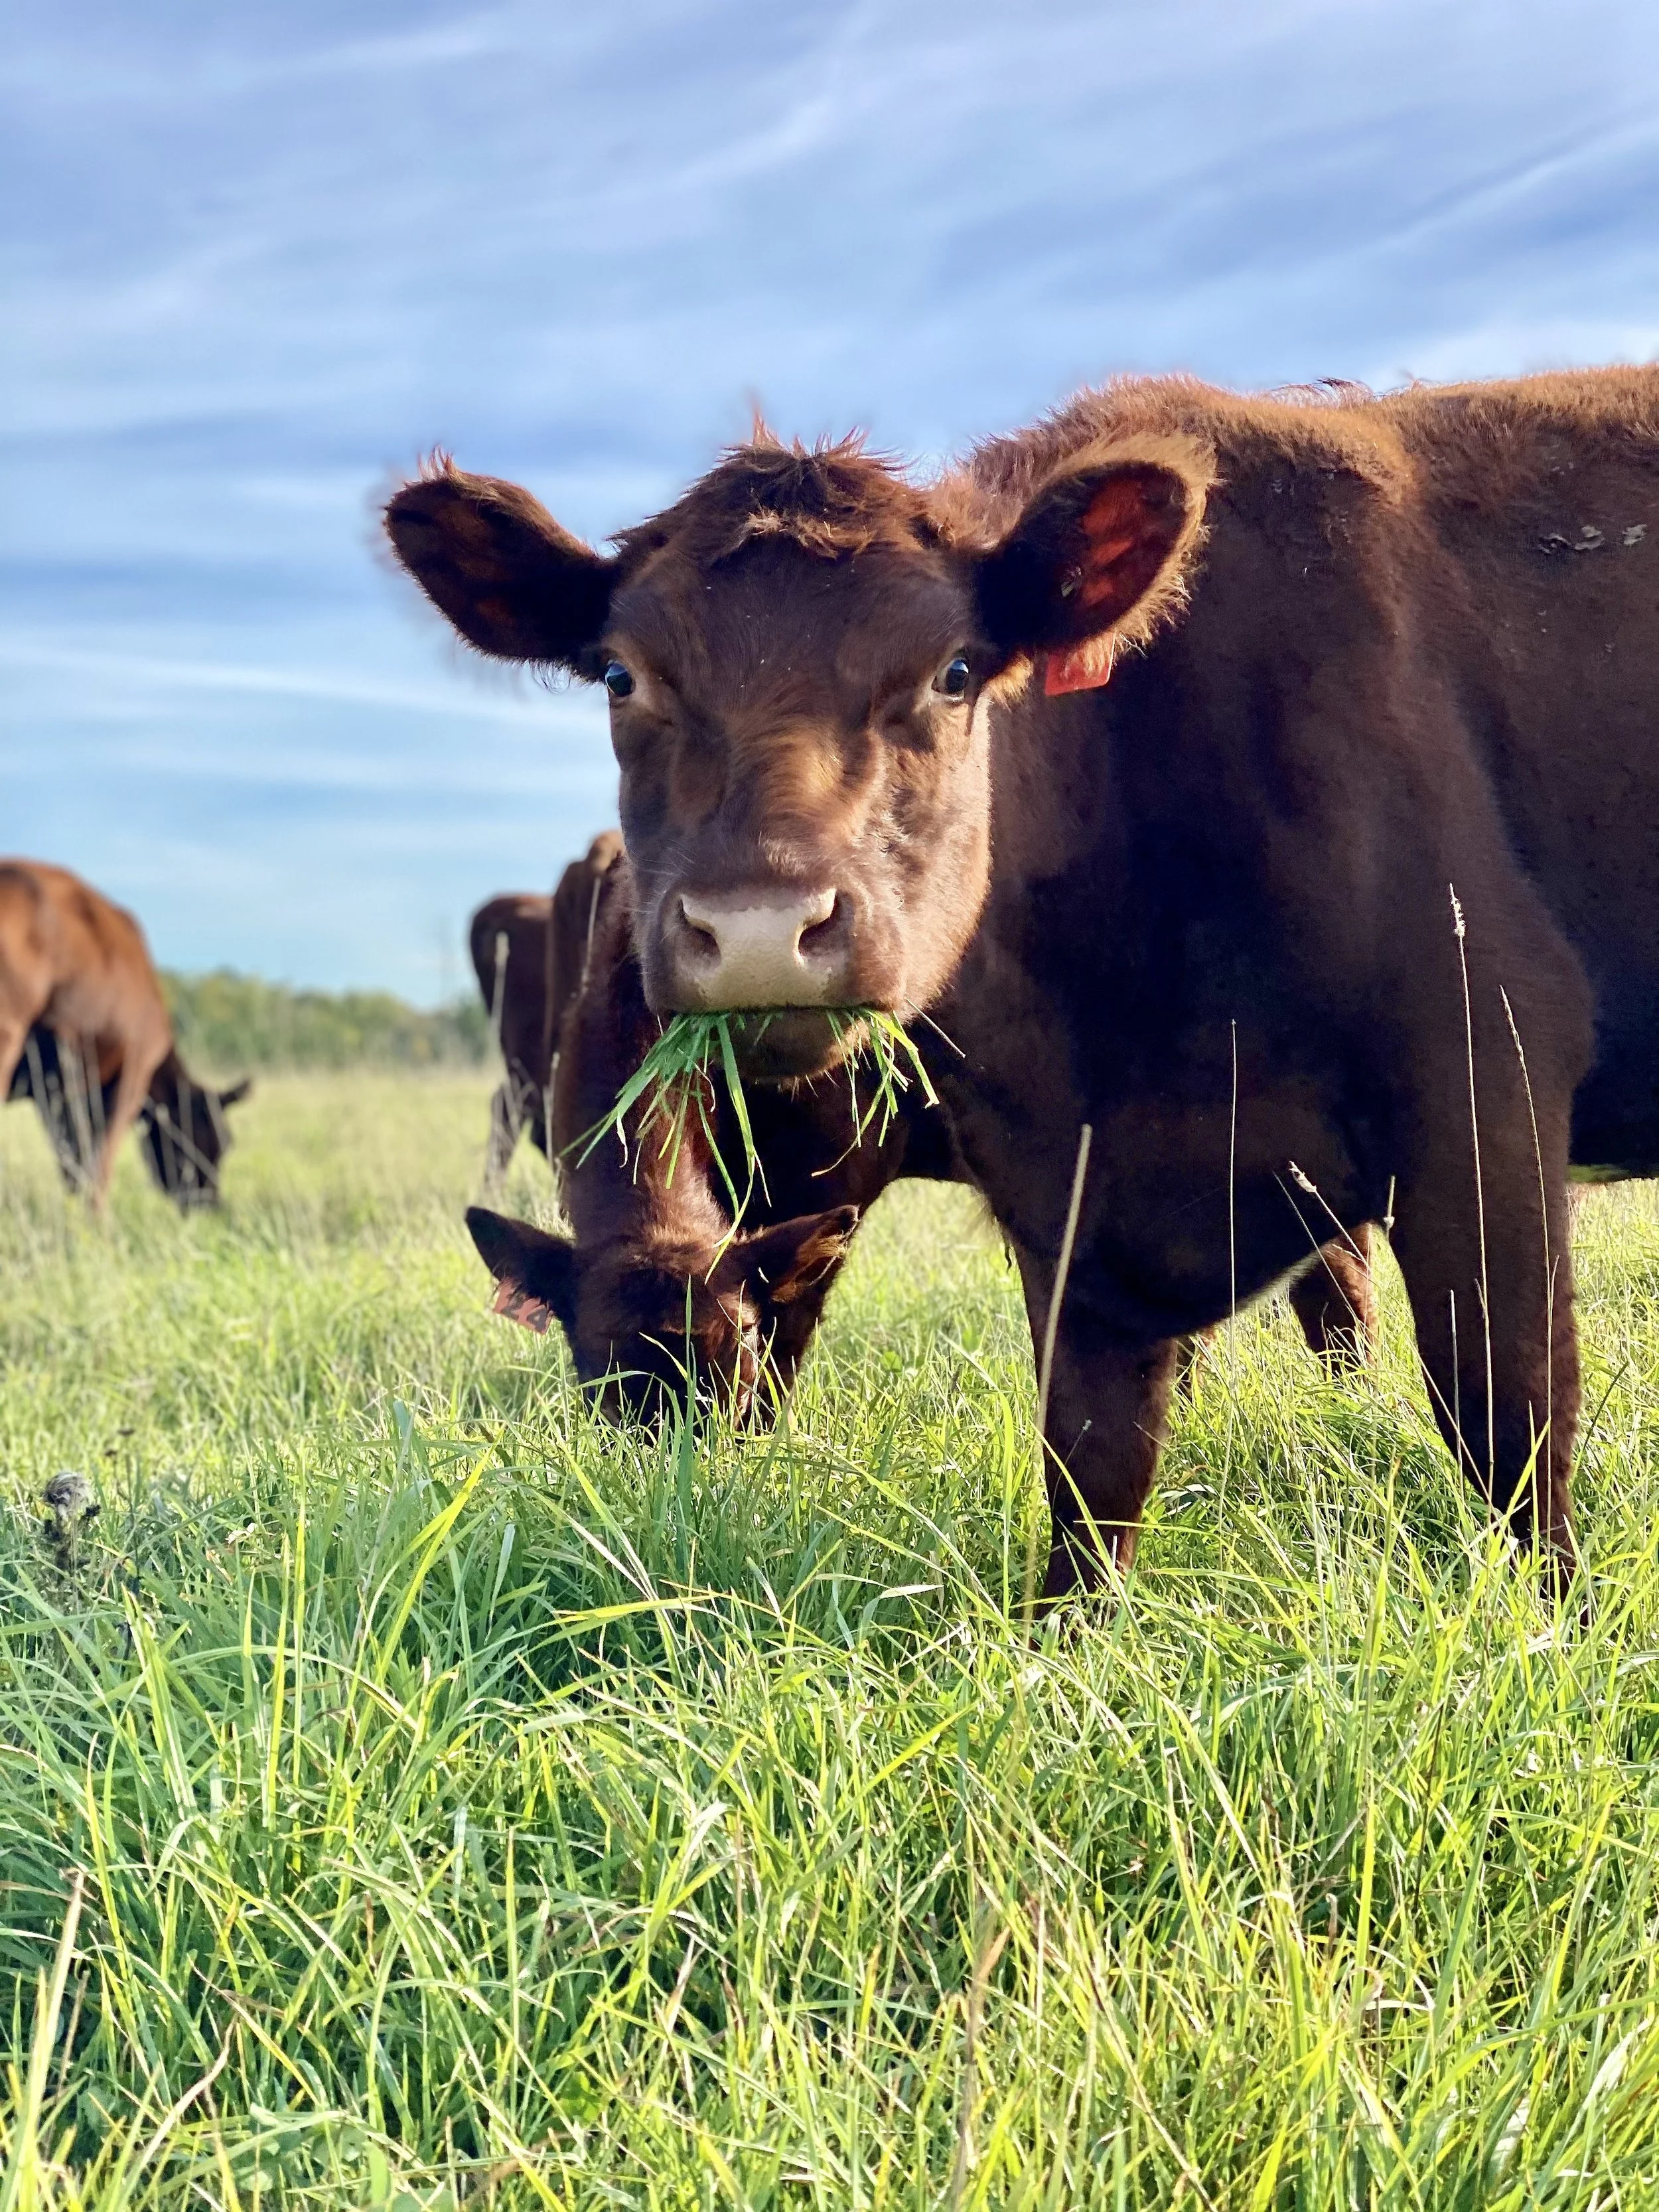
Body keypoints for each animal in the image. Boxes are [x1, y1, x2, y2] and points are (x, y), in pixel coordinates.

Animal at [1, 860, 250, 1210]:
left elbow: (72, 1164)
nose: (210, 1204)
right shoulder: (133, 1071)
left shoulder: (57, 1094)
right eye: (223, 1141)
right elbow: (98, 1167)